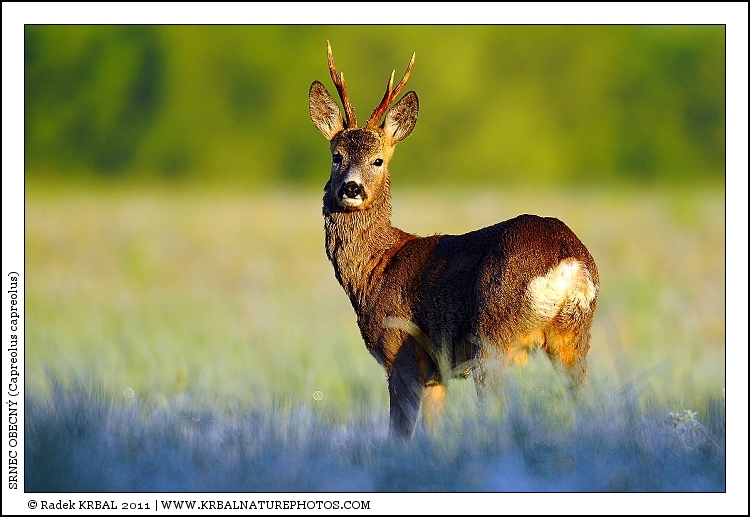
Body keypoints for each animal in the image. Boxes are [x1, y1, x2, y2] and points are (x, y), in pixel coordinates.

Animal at [309, 42, 600, 438]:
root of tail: (568, 259)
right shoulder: (437, 373)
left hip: (494, 334)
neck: (376, 268)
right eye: (336, 156)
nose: (351, 188)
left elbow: (400, 434)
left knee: (498, 408)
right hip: (573, 338)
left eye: (378, 160)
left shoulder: (401, 350)